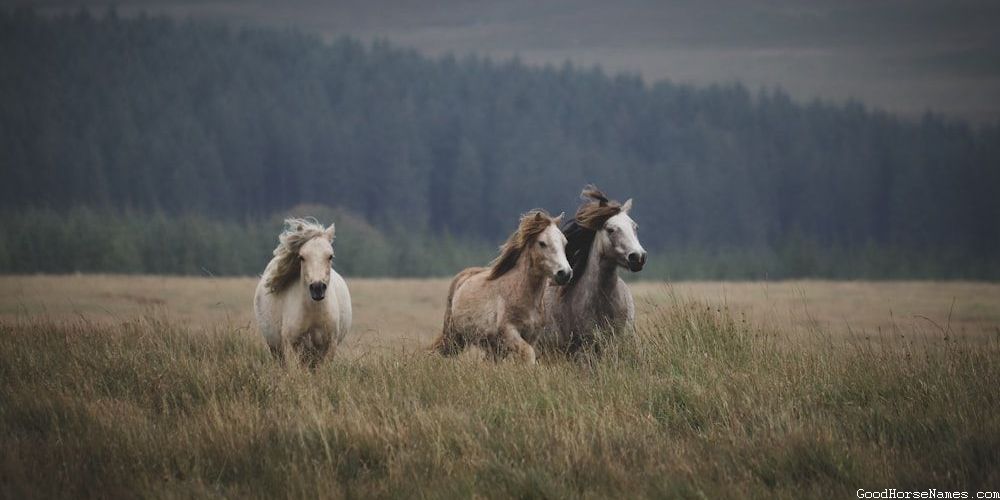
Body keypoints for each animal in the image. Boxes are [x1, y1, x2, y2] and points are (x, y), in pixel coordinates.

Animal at [254, 218, 352, 368]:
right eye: (301, 257)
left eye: (330, 256)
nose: (317, 288)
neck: (314, 312)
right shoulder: (290, 346)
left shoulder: (329, 346)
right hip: (276, 349)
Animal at [431, 210, 572, 364]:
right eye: (542, 243)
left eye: (565, 242)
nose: (565, 273)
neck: (522, 293)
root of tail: (462, 277)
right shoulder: (509, 332)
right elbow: (528, 353)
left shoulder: (532, 335)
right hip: (454, 337)